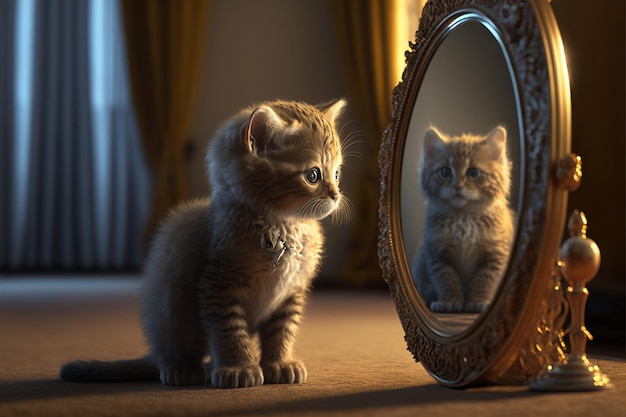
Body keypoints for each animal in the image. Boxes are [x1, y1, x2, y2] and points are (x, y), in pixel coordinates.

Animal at [59, 99, 346, 388]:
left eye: (336, 174)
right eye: (313, 175)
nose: (336, 195)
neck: (284, 226)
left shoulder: (290, 294)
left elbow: (281, 331)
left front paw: (278, 363)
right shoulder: (218, 285)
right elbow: (230, 332)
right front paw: (239, 368)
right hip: (171, 309)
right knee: (172, 350)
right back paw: (183, 369)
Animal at [410, 126, 512, 312]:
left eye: (473, 173)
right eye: (445, 172)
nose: (457, 186)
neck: (463, 218)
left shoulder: (495, 254)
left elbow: (484, 281)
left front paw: (478, 302)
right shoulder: (438, 254)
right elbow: (446, 280)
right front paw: (449, 301)